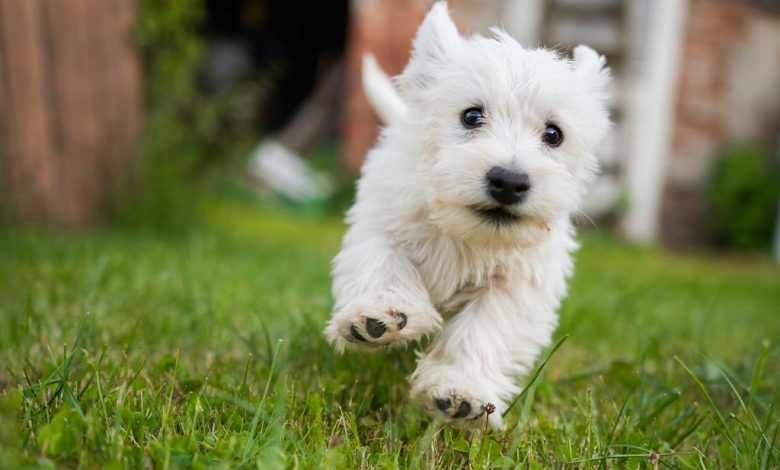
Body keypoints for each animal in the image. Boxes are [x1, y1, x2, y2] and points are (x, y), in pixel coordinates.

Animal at [322, 2, 608, 430]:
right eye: (472, 116)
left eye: (554, 134)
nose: (509, 181)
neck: (466, 233)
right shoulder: (381, 226)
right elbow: (385, 264)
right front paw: (378, 313)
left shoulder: (518, 283)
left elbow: (485, 328)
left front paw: (459, 390)